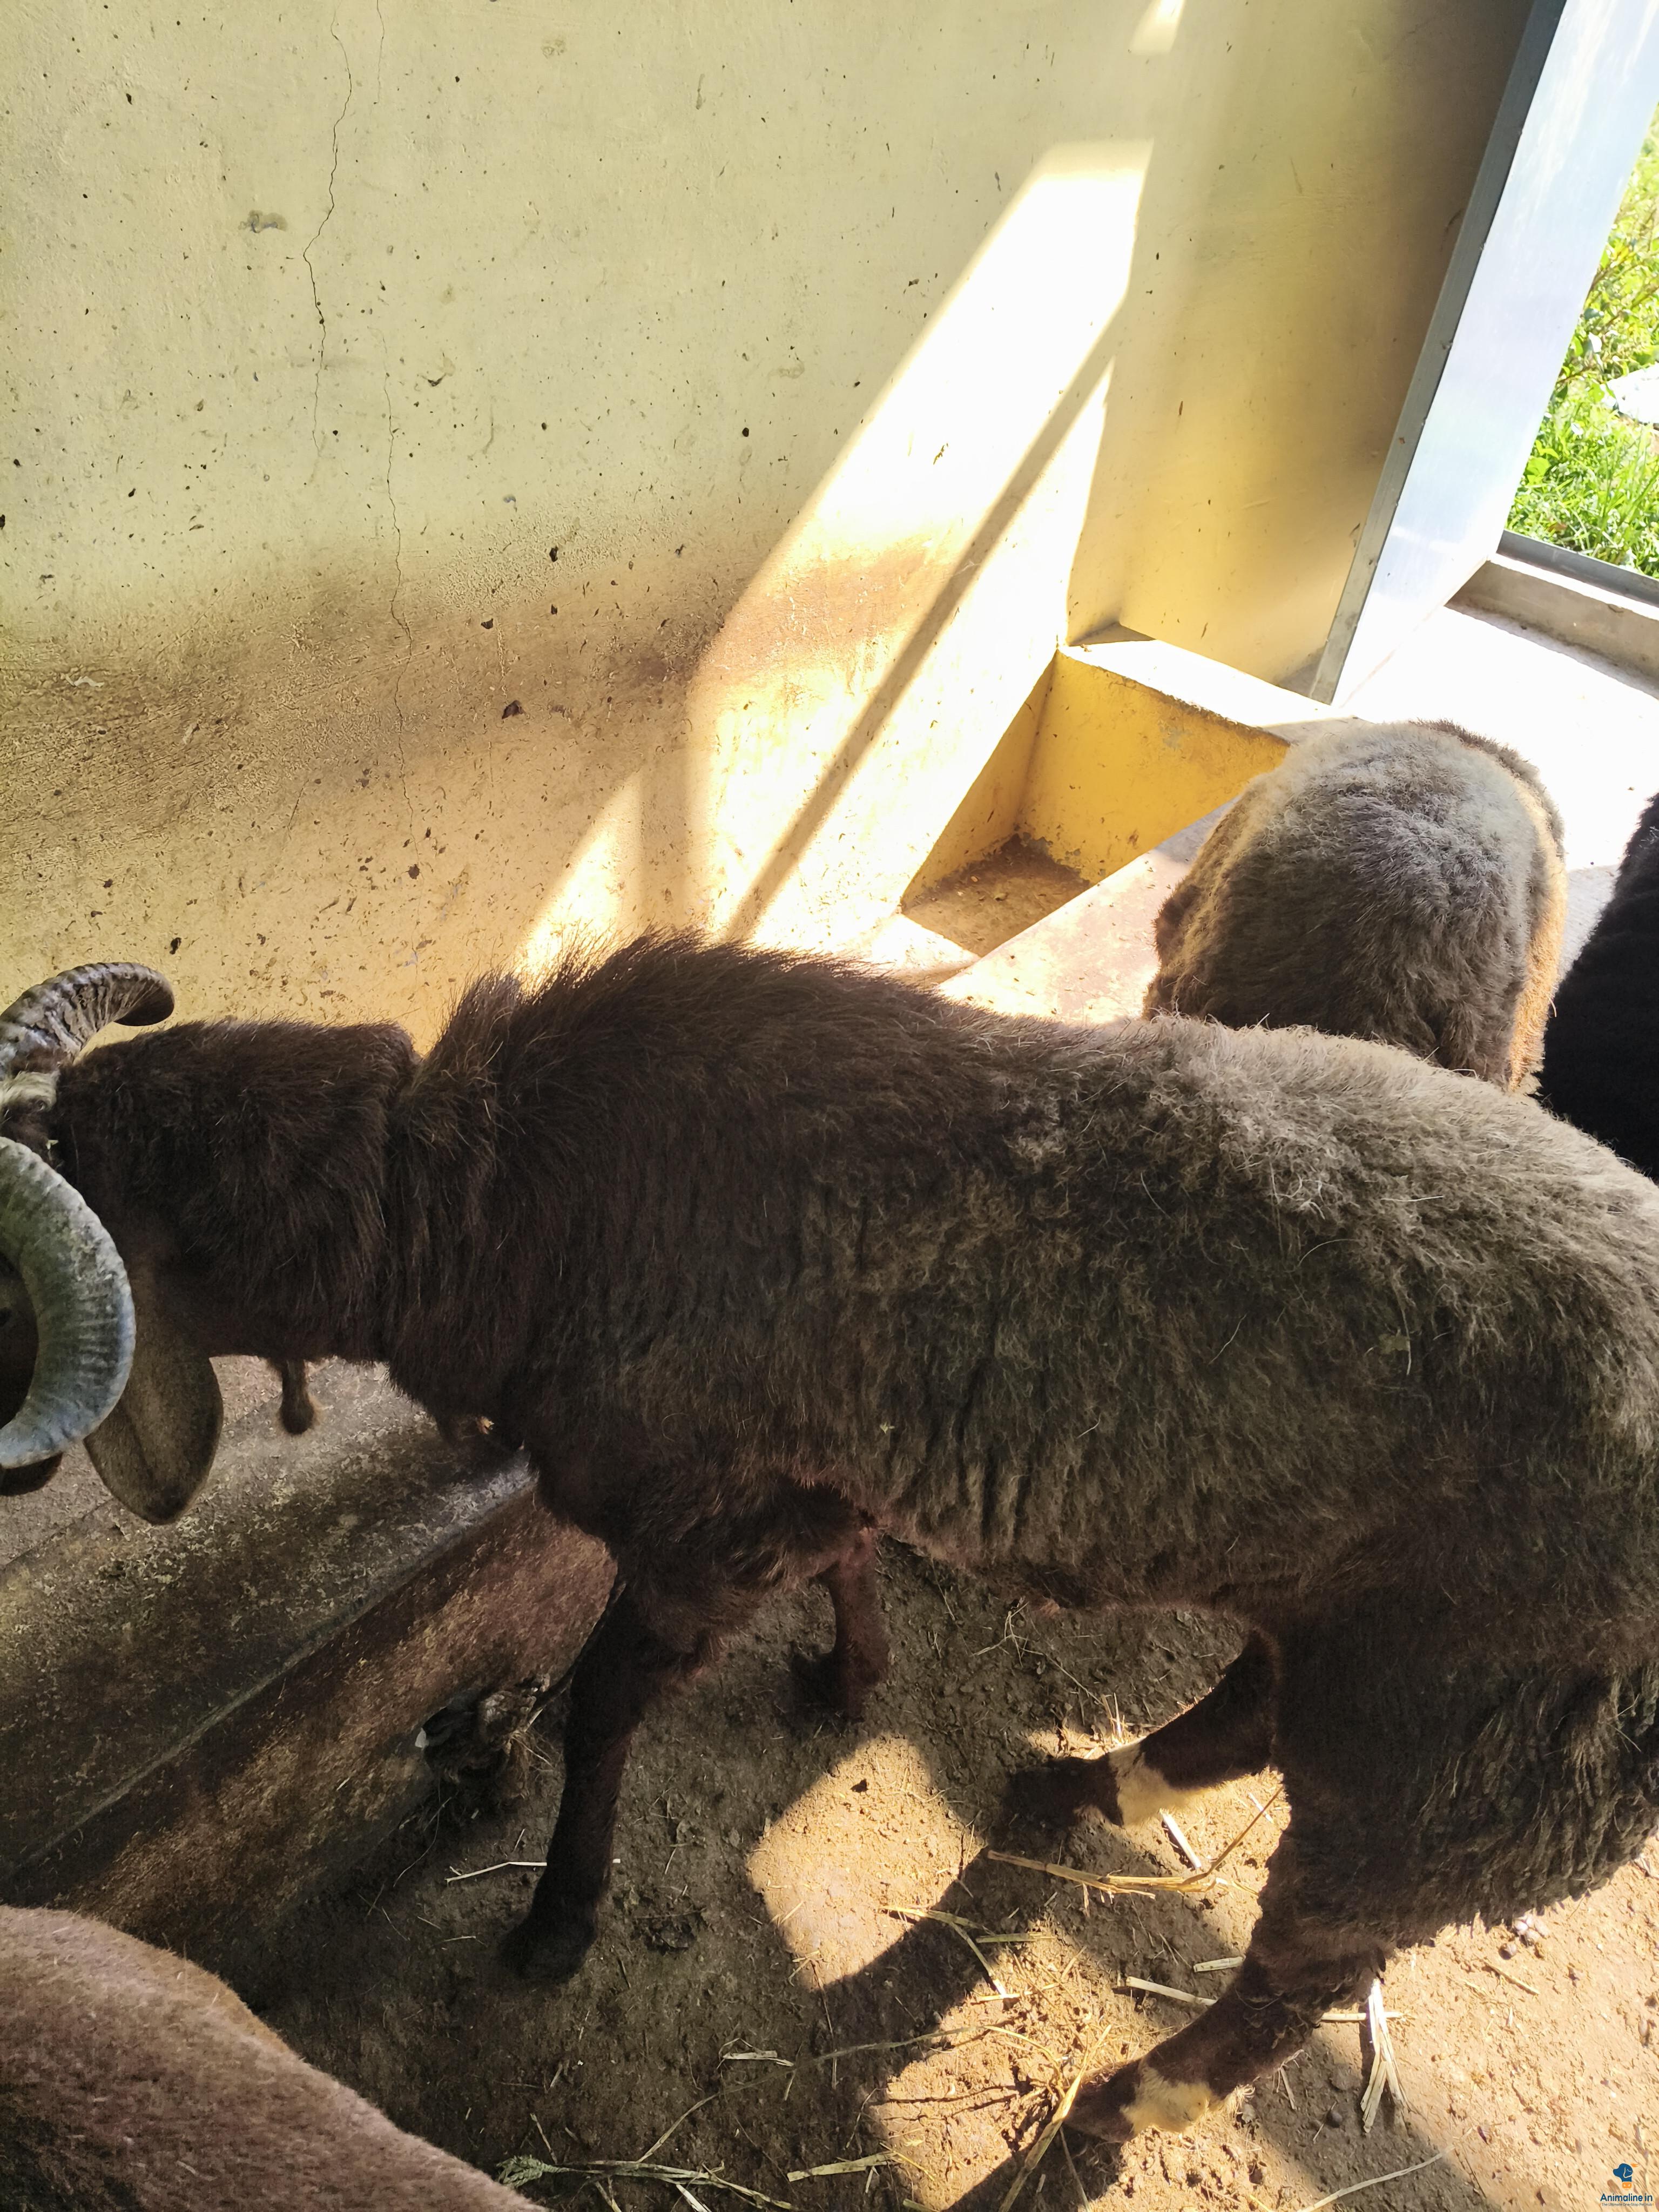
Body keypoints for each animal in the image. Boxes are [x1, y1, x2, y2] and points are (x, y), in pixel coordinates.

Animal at [3, 942, 1659, 2145]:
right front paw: (850, 1677)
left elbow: (602, 1709)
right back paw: (1082, 1786)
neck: (487, 1205)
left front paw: (558, 1919)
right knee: (1246, 1719)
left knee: (1302, 1976)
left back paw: (1110, 2117)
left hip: (1459, 1743)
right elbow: (848, 1563)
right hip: (1357, 1638)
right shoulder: (804, 1483)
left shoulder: (700, 1519)